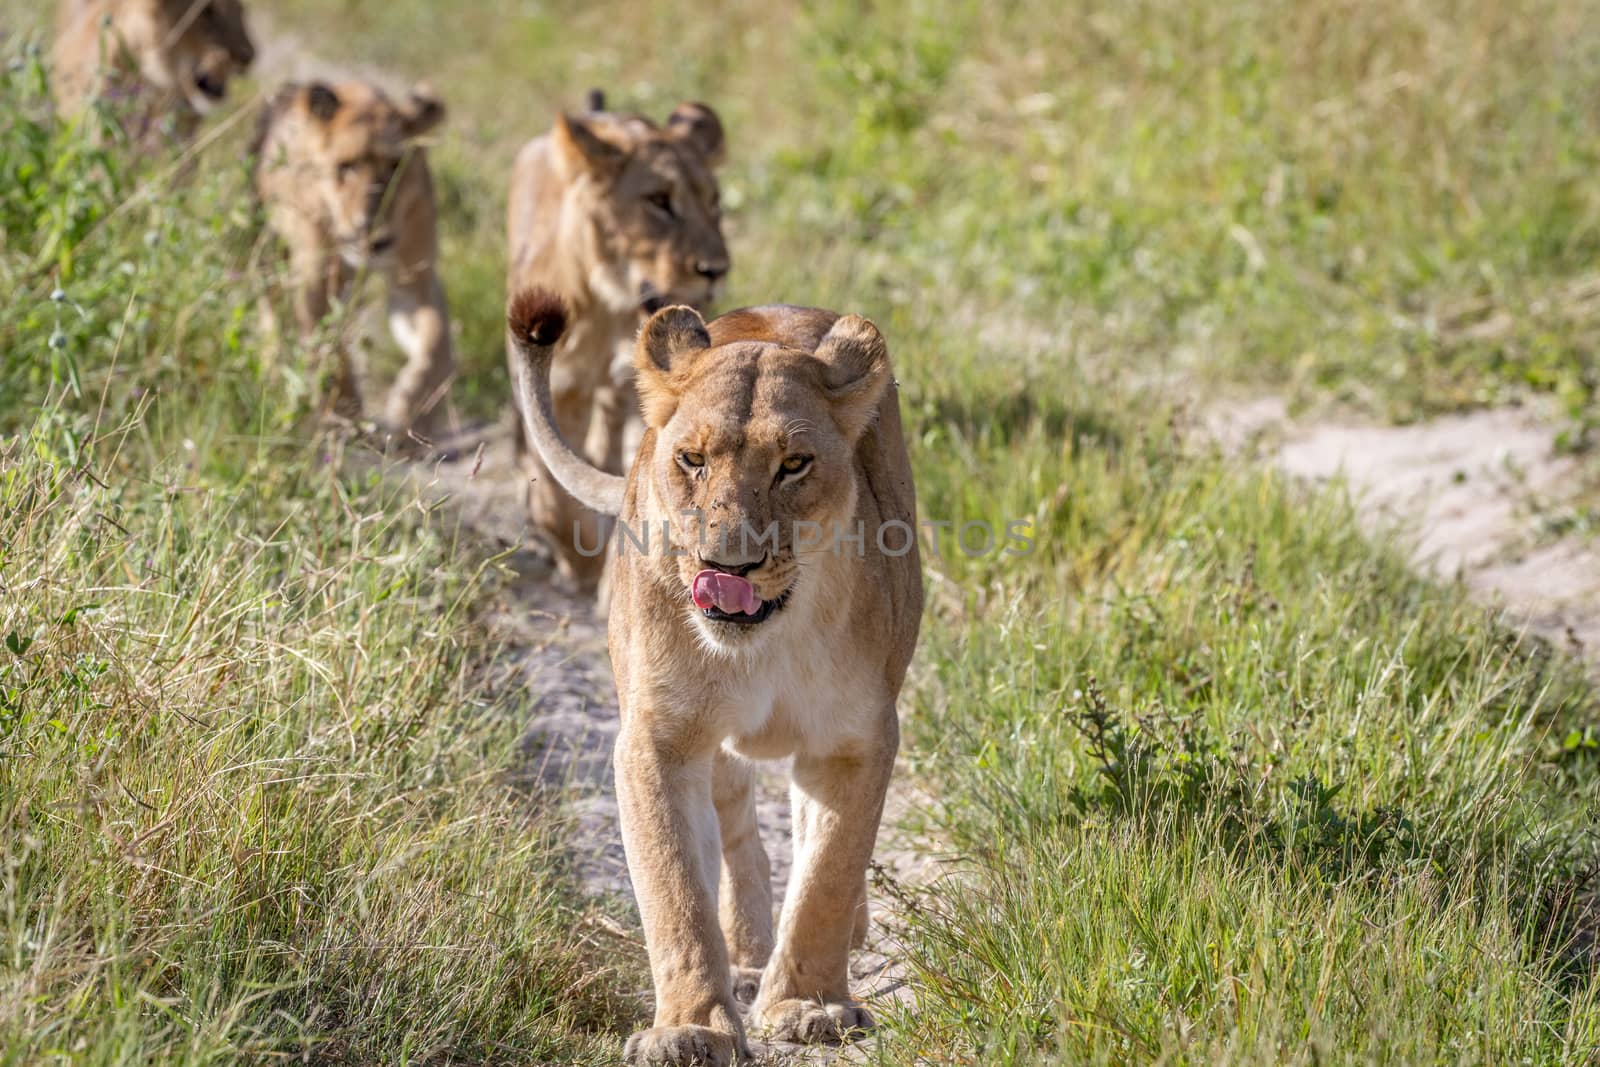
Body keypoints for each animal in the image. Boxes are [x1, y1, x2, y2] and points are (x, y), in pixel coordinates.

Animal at [505, 91, 732, 591]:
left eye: (714, 202)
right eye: (659, 201)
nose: (716, 270)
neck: (612, 302)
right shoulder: (559, 383)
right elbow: (554, 489)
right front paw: (579, 561)